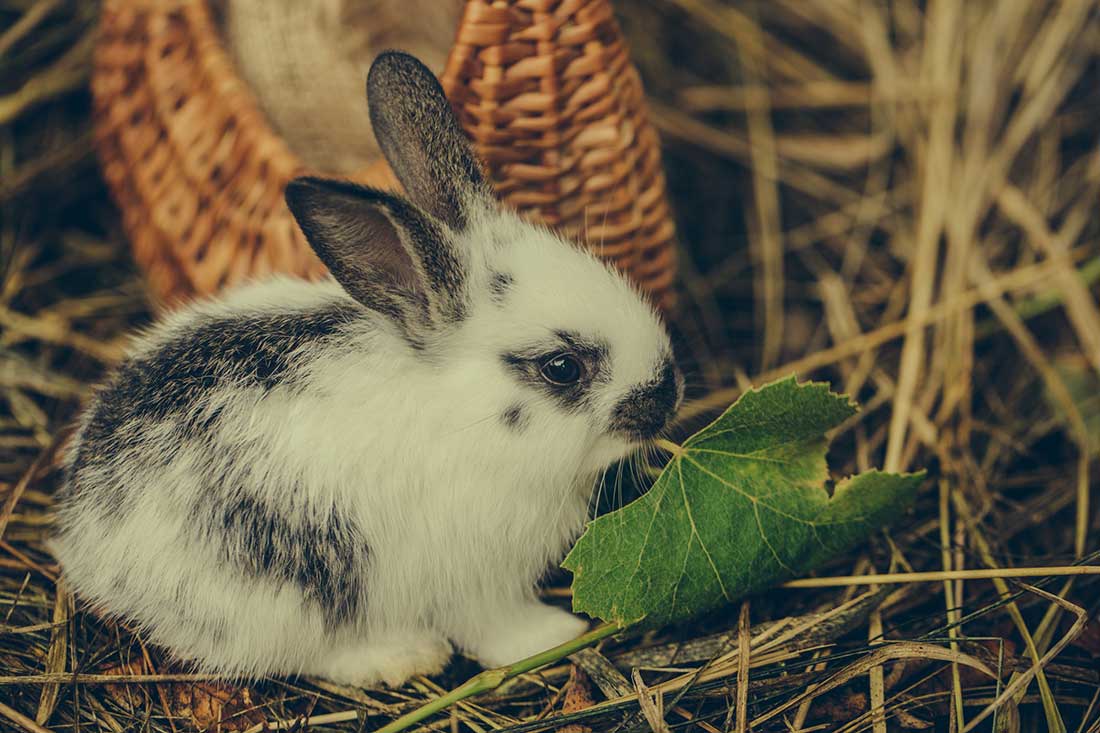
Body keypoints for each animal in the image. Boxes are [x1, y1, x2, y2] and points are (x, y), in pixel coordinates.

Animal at [51, 51, 683, 687]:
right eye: (562, 368)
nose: (668, 392)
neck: (465, 415)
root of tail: (84, 537)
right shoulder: (477, 581)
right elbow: (497, 627)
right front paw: (557, 634)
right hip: (288, 597)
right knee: (306, 654)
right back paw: (404, 655)